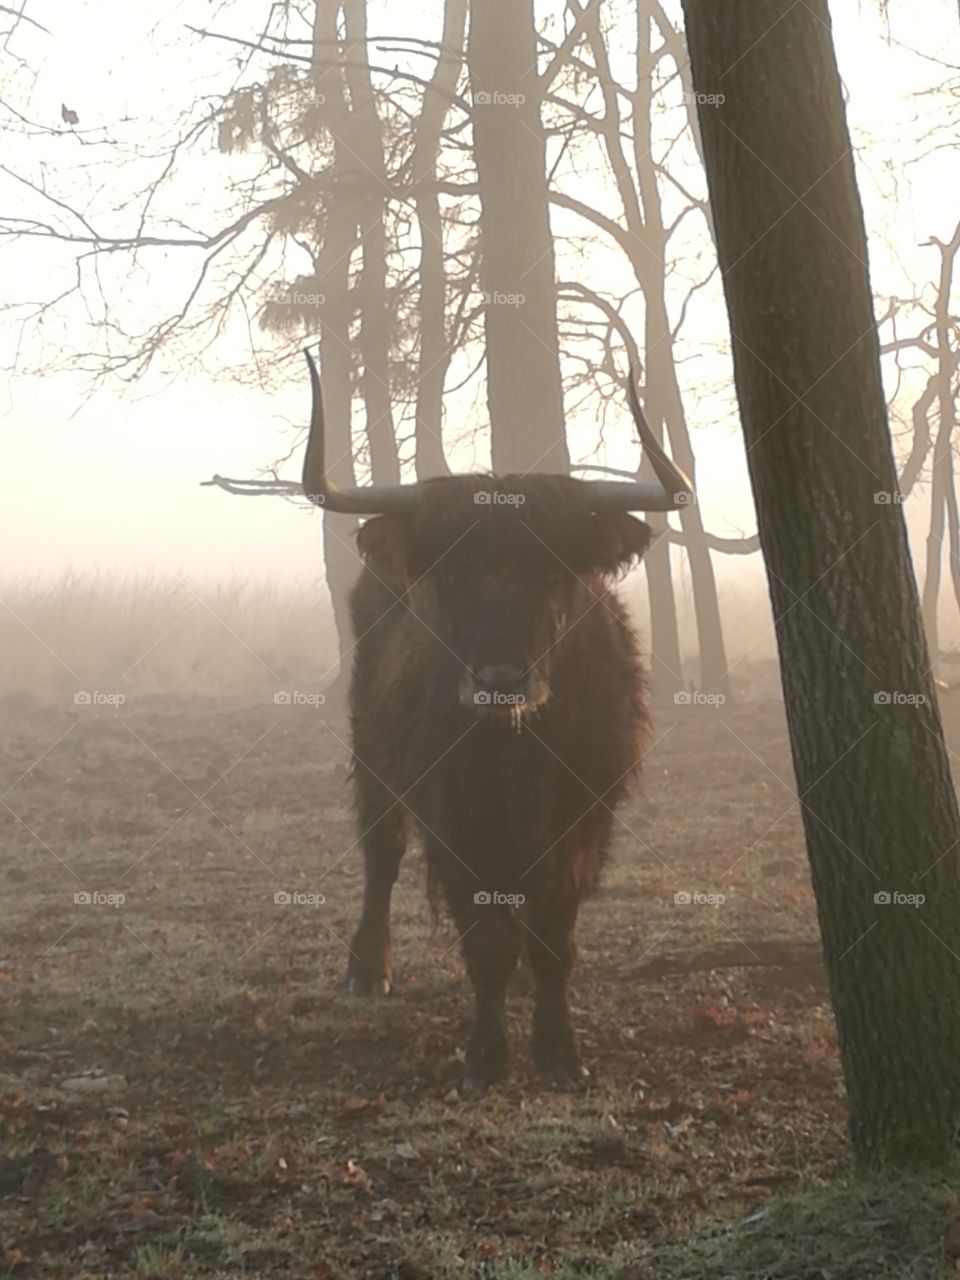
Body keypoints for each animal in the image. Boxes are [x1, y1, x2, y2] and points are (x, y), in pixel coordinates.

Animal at [302, 350, 692, 1093]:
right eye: (452, 577)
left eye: (553, 573)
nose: (501, 680)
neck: (520, 755)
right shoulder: (456, 822)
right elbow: (486, 945)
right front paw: (486, 1057)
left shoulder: (583, 819)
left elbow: (553, 940)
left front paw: (561, 1052)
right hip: (373, 756)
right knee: (381, 852)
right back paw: (368, 969)